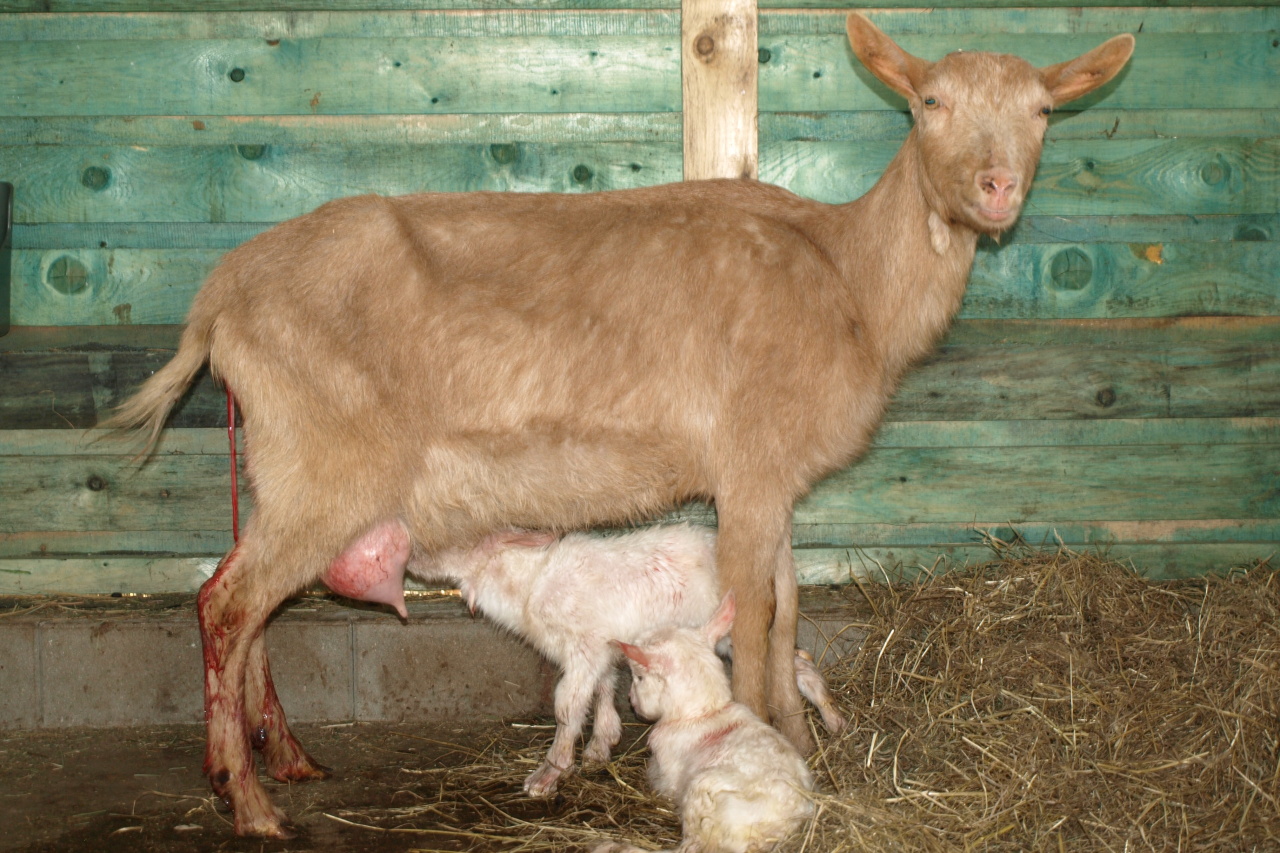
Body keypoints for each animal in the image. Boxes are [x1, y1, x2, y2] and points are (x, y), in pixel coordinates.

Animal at [105, 13, 1134, 837]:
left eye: (1043, 110)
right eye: (928, 102)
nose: (995, 188)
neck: (847, 280)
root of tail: (220, 297)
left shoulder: (775, 476)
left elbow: (788, 606)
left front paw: (803, 744)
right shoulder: (750, 463)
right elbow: (754, 615)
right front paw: (766, 743)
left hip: (284, 466)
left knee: (243, 599)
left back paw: (287, 759)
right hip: (327, 461)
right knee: (229, 602)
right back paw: (249, 802)